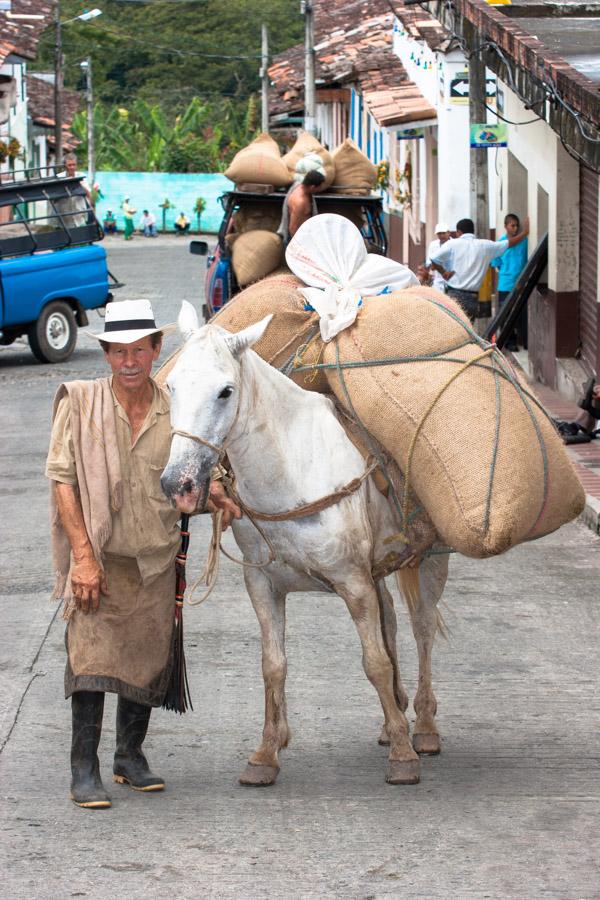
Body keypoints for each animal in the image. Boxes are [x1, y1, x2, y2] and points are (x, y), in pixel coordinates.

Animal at [162, 304, 448, 788]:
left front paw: (403, 757)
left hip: (429, 562)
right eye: (172, 386)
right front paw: (265, 753)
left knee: (422, 631)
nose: (177, 484)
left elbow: (374, 661)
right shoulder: (263, 586)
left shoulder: (353, 583)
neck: (291, 472)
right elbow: (273, 665)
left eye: (225, 391)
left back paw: (424, 729)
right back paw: (393, 719)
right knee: (392, 621)